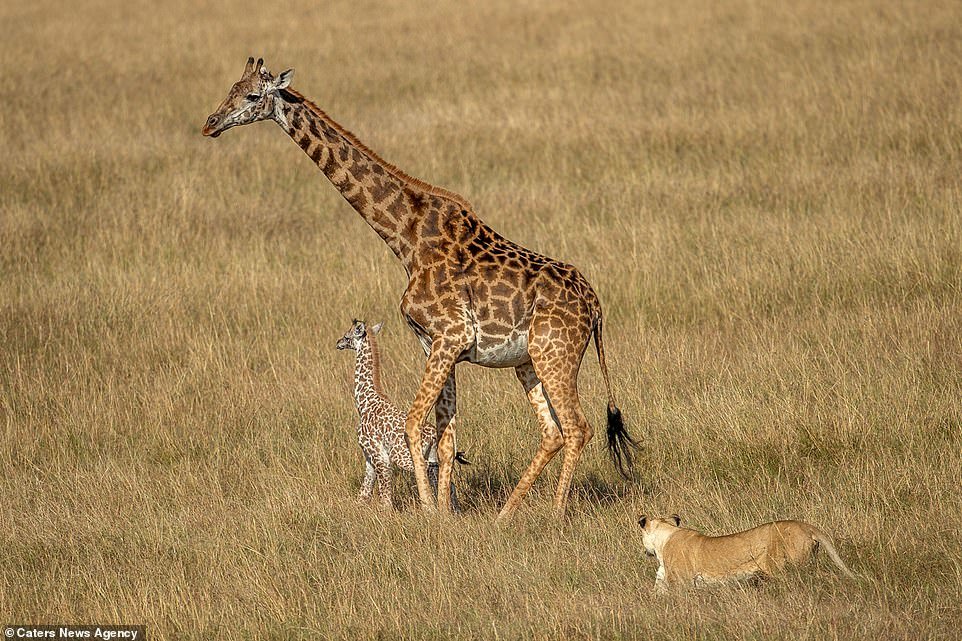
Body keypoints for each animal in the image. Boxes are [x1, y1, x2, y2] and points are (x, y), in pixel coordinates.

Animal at [338, 320, 464, 510]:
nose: (338, 343)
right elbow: (364, 491)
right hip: (433, 458)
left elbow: (384, 494)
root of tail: (434, 436)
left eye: (347, 336)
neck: (364, 402)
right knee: (448, 484)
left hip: (408, 458)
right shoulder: (369, 455)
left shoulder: (379, 455)